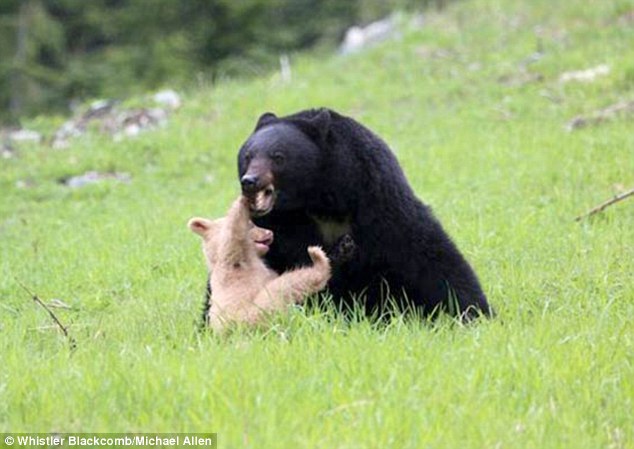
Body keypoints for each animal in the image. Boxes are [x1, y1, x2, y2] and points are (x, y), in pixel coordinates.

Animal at [235, 107, 492, 320]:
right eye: (247, 156)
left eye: (278, 156)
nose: (250, 181)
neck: (321, 199)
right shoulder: (278, 223)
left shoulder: (379, 200)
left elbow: (428, 254)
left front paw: (473, 311)